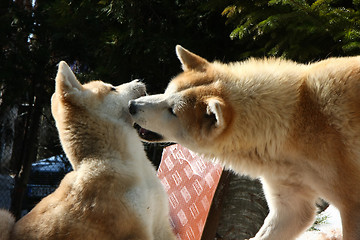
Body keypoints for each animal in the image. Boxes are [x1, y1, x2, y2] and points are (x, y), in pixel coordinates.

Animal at [129, 46, 360, 239]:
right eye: (167, 92)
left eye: (172, 111)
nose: (132, 105)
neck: (294, 122)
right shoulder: (291, 210)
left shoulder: (351, 208)